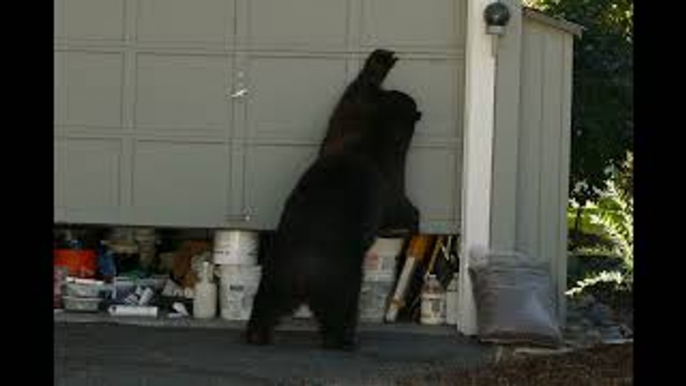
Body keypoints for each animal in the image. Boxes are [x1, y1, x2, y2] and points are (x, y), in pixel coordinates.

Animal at [245, 48, 422, 350]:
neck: (371, 140)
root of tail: (303, 274)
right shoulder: (388, 177)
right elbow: (397, 209)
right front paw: (414, 220)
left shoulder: (344, 128)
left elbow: (352, 97)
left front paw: (381, 59)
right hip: (340, 281)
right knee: (342, 311)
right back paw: (343, 340)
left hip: (275, 275)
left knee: (265, 305)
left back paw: (257, 333)